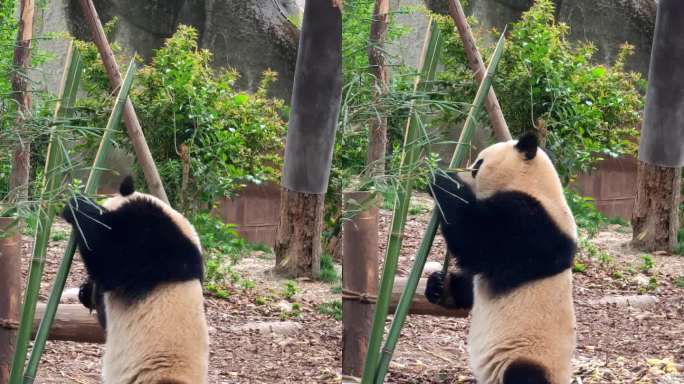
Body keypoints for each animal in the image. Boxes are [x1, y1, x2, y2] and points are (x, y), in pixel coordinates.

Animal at [424, 133, 580, 384]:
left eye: (478, 165)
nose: (463, 172)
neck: (535, 185)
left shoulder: (532, 228)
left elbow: (476, 238)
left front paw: (442, 180)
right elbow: (471, 285)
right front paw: (439, 286)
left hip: (531, 356)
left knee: (524, 374)